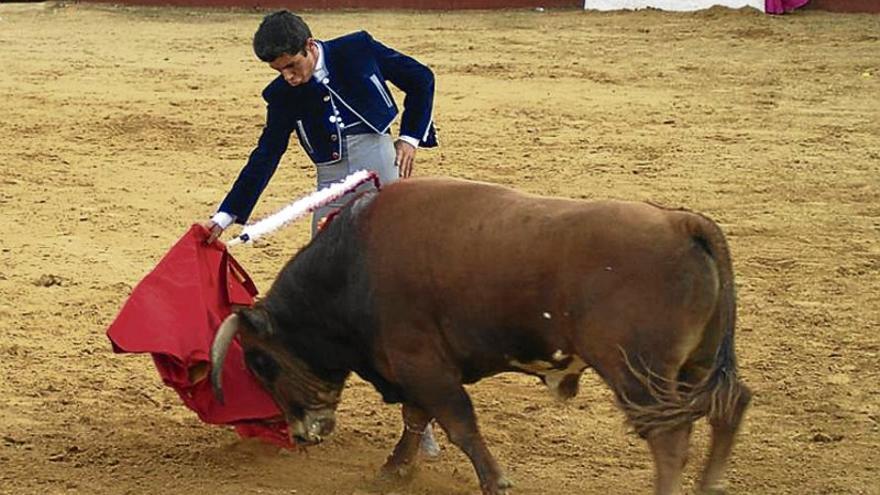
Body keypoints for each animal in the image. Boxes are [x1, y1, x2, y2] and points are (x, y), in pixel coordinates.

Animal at [208, 178, 748, 495]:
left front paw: (496, 481)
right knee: (730, 405)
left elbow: (458, 423)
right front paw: (394, 470)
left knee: (671, 438)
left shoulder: (421, 364)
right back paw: (712, 484)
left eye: (261, 363)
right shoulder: (413, 367)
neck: (352, 266)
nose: (301, 434)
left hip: (638, 372)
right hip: (695, 364)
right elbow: (416, 417)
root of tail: (681, 221)